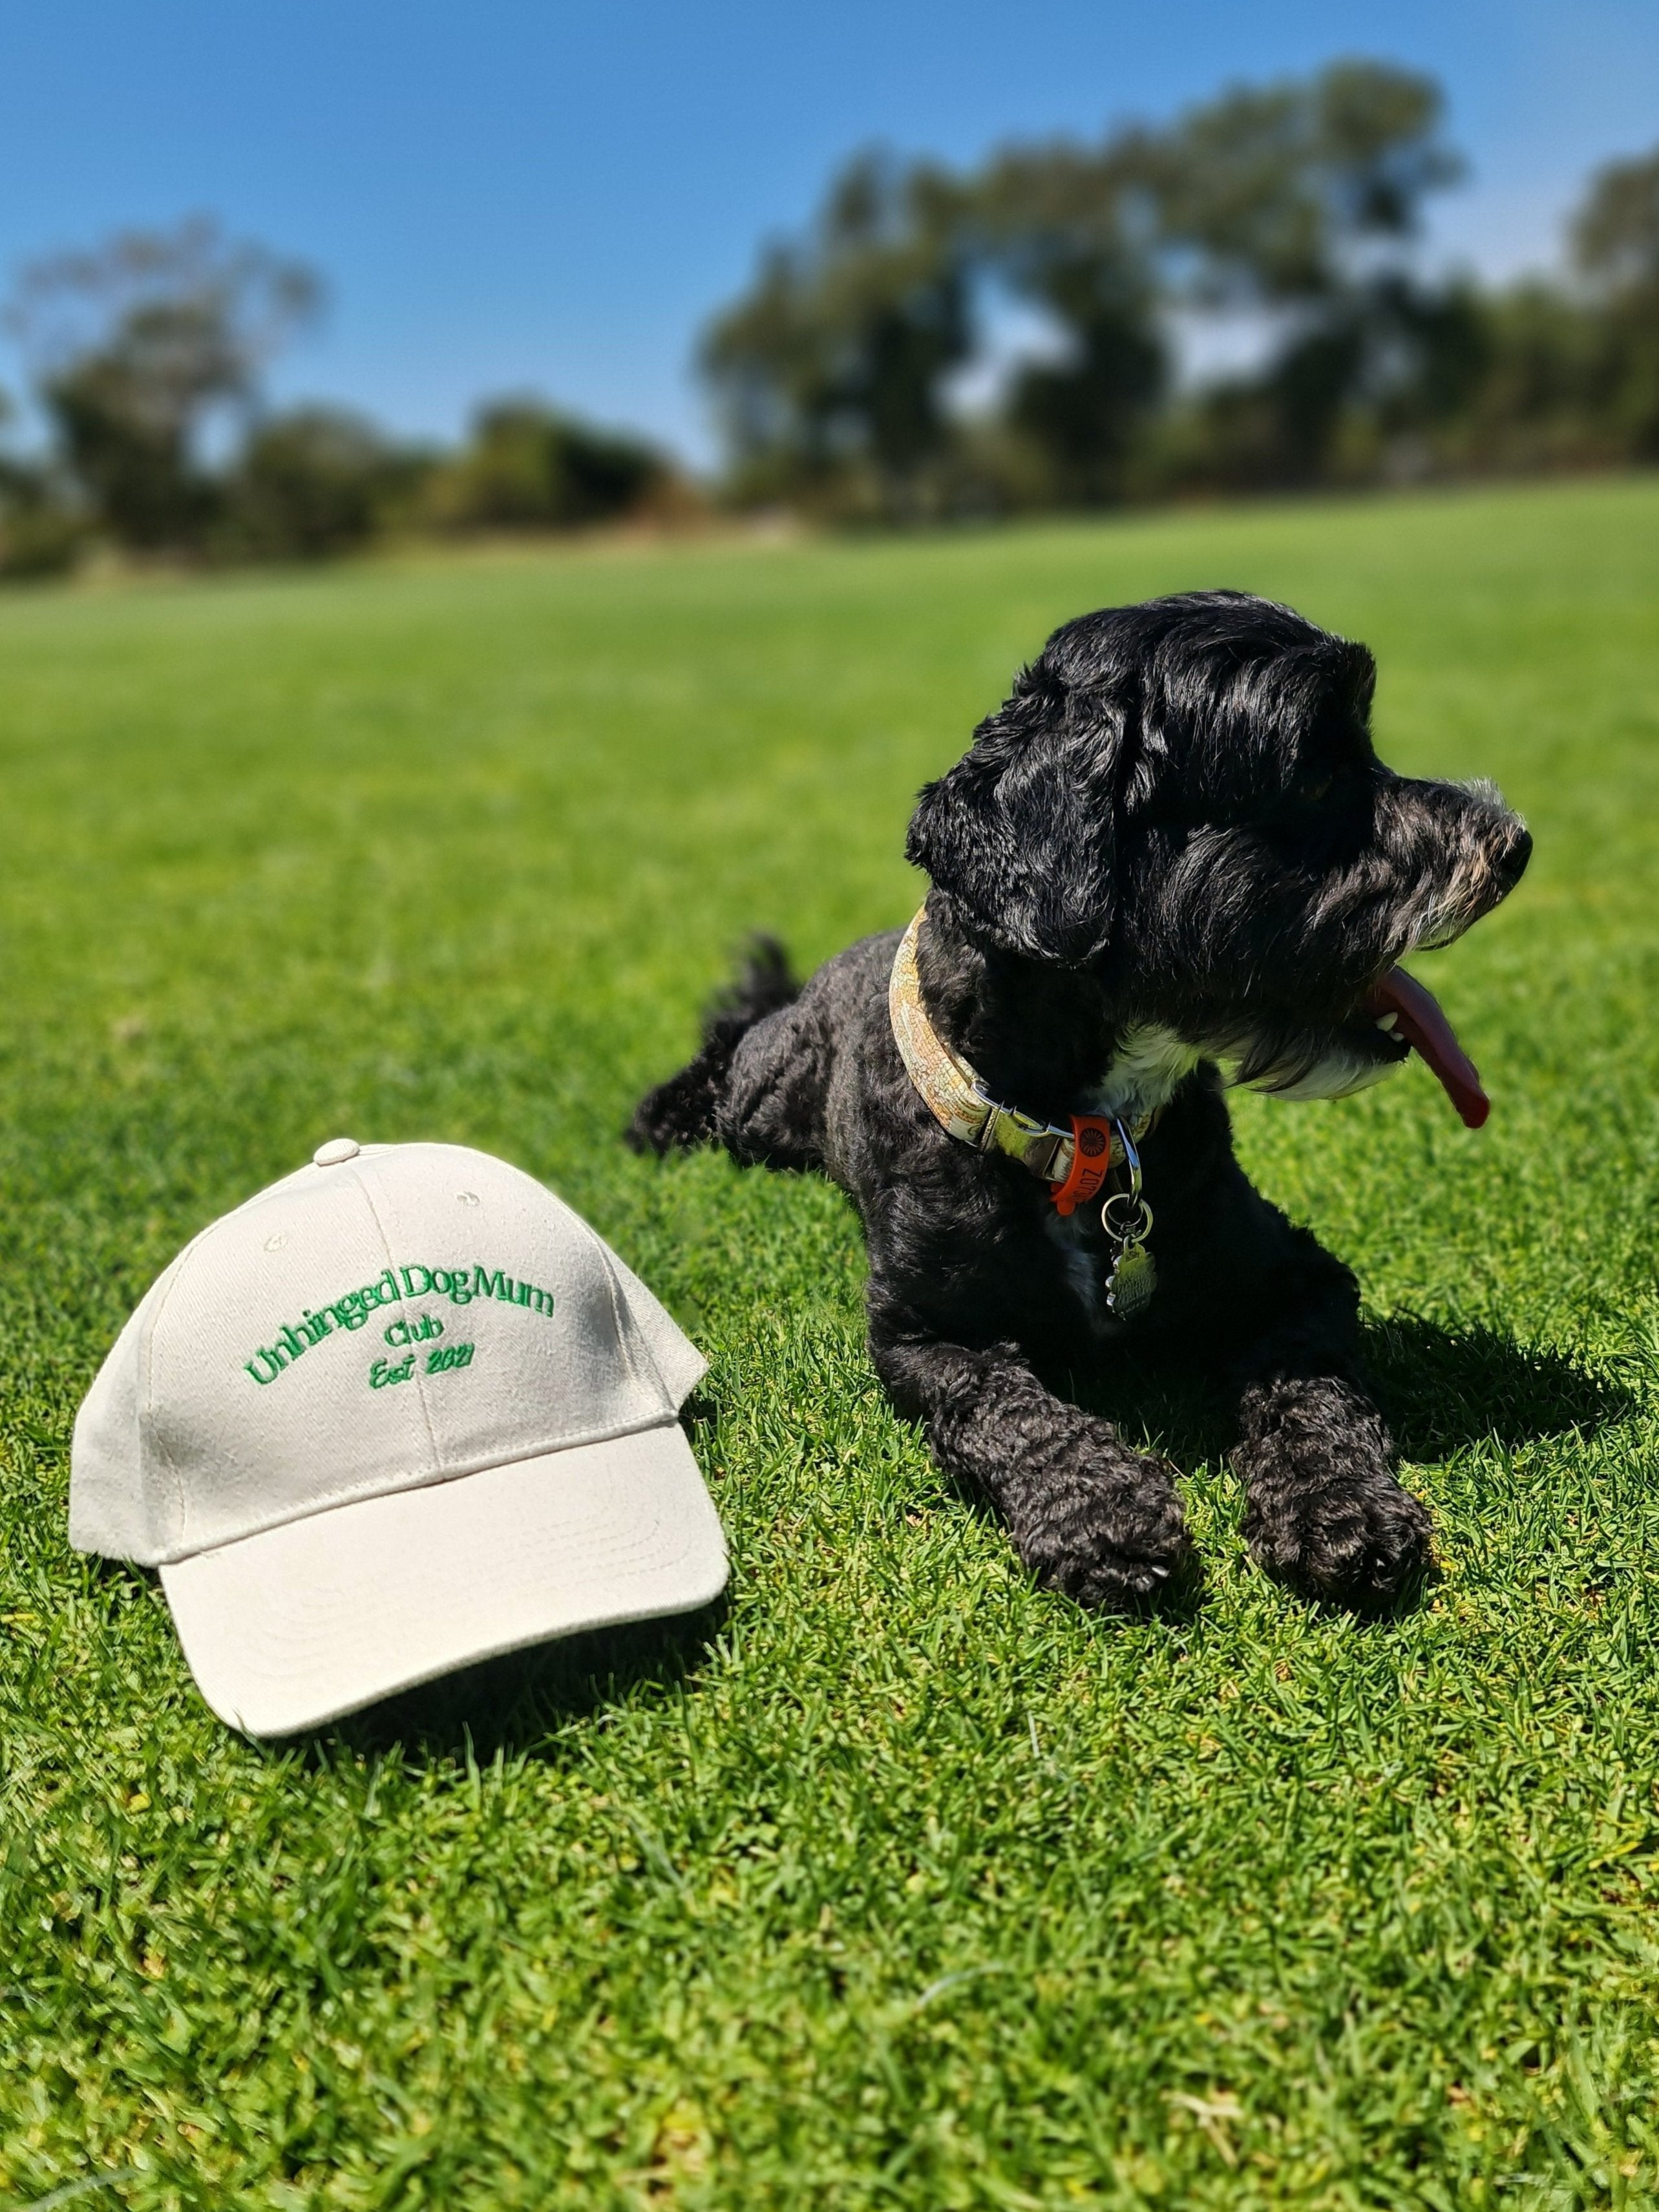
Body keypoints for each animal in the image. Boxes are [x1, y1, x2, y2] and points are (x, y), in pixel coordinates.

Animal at [632, 593, 1530, 1610]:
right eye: (1313, 773)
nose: (1513, 844)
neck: (1088, 1132)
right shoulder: (923, 1332)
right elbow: (1007, 1407)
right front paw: (1096, 1505)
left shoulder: (1299, 1275)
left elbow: (1309, 1387)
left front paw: (1334, 1502)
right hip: (761, 1104)